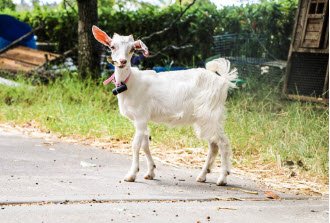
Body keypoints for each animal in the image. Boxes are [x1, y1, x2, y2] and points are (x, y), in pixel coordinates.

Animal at [91, 25, 238, 186]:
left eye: (132, 49)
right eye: (112, 46)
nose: (122, 61)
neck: (131, 82)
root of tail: (223, 80)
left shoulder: (141, 117)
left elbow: (136, 145)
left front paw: (131, 175)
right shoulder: (142, 120)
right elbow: (145, 145)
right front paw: (150, 172)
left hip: (210, 114)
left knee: (223, 143)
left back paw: (222, 178)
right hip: (203, 118)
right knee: (213, 145)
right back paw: (202, 176)